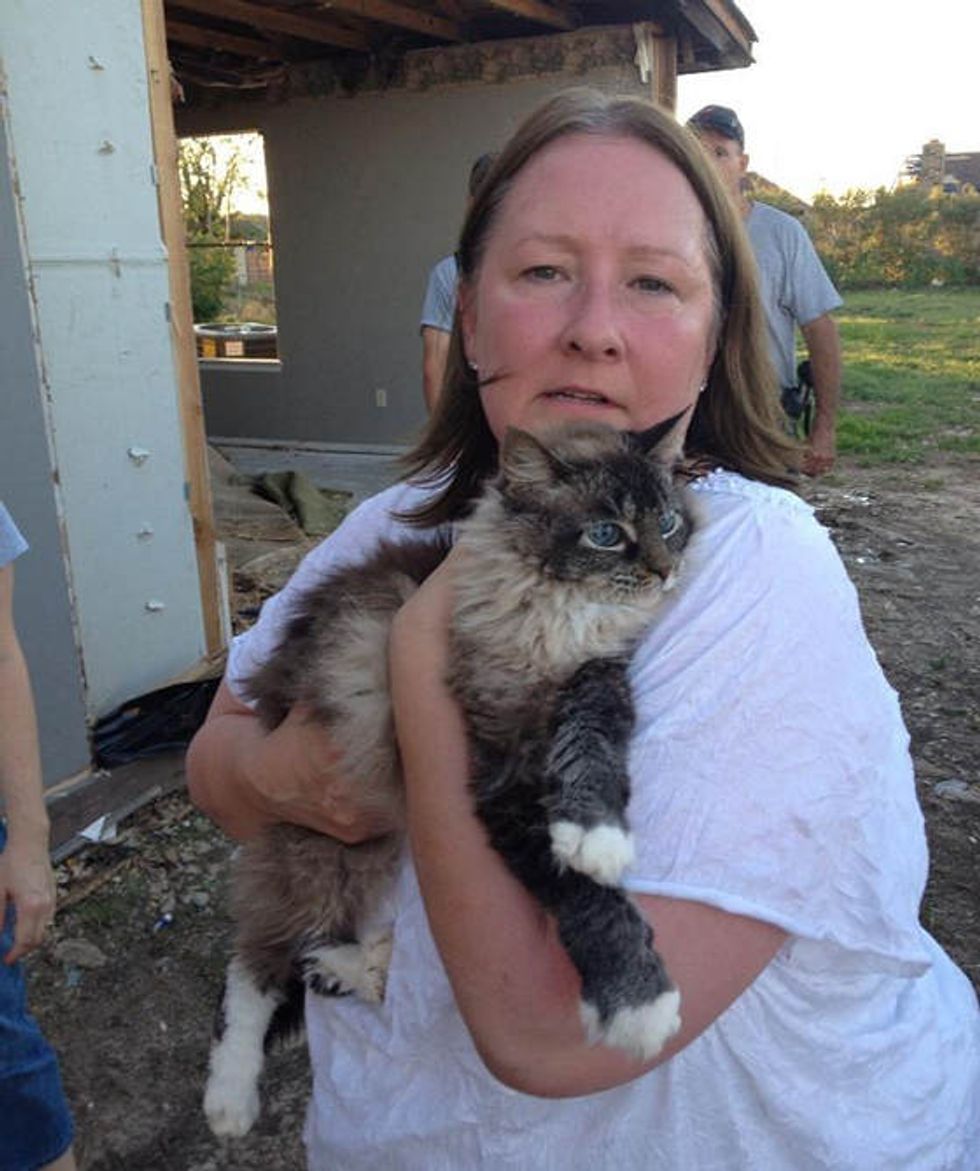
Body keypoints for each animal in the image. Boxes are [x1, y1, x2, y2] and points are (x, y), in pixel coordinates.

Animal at [204, 419, 697, 1133]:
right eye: (607, 533)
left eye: (668, 522)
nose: (665, 570)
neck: (561, 614)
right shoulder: (497, 771)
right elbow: (577, 891)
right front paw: (638, 1002)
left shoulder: (597, 681)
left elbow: (591, 756)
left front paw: (597, 833)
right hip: (321, 851)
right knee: (256, 961)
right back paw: (230, 1097)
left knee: (320, 952)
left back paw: (355, 971)